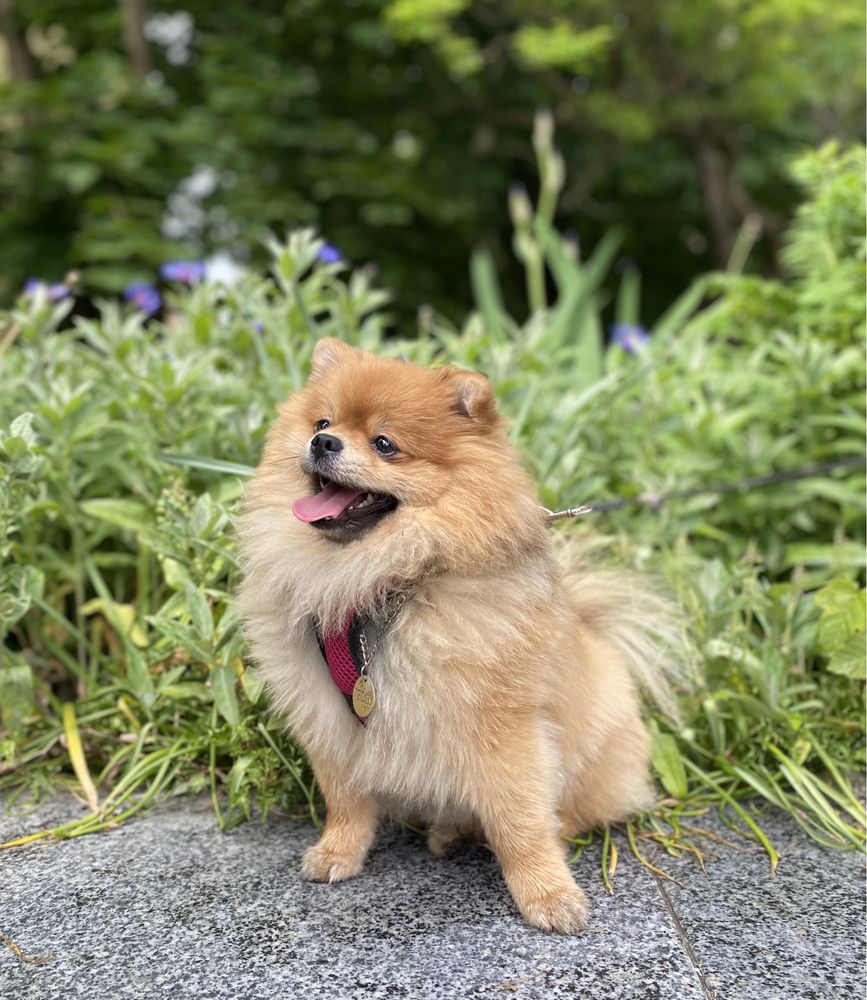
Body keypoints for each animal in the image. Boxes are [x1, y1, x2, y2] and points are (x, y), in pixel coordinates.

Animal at [237, 340, 680, 932]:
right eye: (322, 422)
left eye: (385, 444)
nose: (323, 442)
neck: (382, 587)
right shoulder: (329, 717)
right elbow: (345, 800)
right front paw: (338, 852)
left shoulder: (504, 730)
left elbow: (521, 819)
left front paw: (547, 893)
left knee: (574, 812)